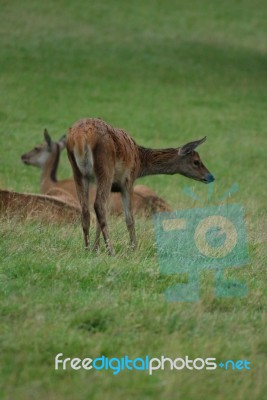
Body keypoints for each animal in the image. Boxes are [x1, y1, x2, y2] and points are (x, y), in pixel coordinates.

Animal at [67, 117, 216, 253]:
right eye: (196, 161)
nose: (210, 177)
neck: (140, 162)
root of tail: (81, 137)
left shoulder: (111, 187)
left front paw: (96, 249)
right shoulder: (127, 180)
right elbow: (129, 218)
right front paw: (134, 248)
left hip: (78, 172)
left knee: (86, 210)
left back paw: (87, 249)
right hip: (105, 167)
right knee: (98, 205)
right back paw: (111, 251)